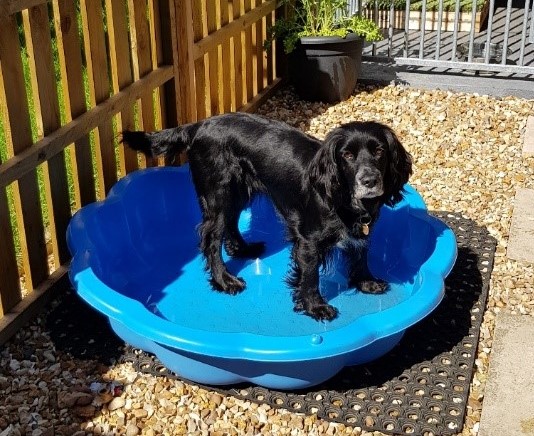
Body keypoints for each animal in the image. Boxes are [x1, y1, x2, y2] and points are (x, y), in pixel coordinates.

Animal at [122, 114, 414, 322]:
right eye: (348, 155)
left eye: (379, 151)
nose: (370, 180)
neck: (343, 197)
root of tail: (199, 125)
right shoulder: (307, 242)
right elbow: (310, 276)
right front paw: (315, 307)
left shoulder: (363, 229)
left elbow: (361, 254)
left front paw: (366, 282)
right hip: (219, 191)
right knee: (212, 238)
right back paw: (225, 280)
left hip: (238, 190)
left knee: (231, 223)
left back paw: (244, 249)